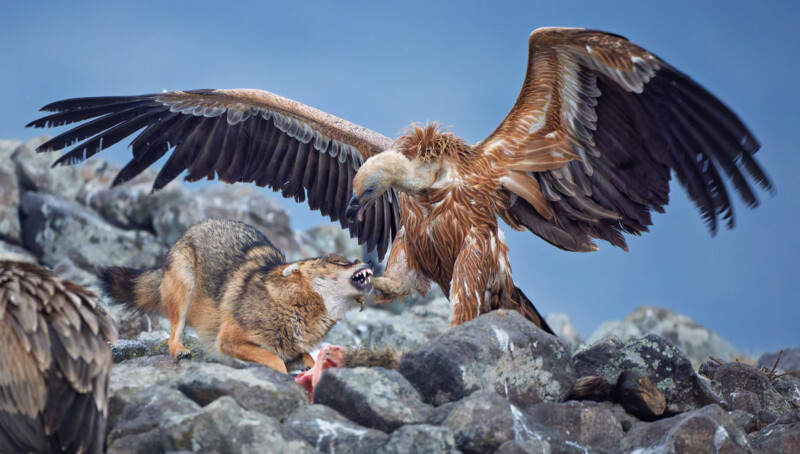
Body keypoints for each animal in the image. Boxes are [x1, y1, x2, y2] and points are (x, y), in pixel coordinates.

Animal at [99, 218, 373, 373]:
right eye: (339, 262)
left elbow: (308, 360)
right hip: (185, 287)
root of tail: (195, 227)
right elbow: (274, 361)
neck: (292, 305)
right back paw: (180, 350)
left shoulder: (291, 349)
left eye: (351, 259)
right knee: (173, 334)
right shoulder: (230, 340)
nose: (369, 261)